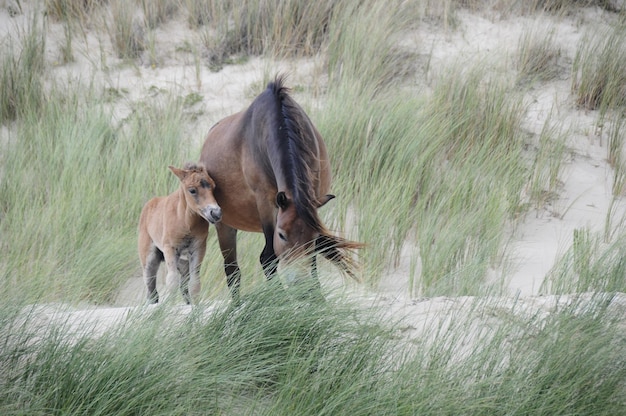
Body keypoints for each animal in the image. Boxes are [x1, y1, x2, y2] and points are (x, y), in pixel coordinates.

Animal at [138, 164, 222, 304]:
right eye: (192, 190)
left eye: (213, 186)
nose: (216, 213)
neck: (185, 221)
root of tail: (148, 205)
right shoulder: (170, 248)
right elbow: (172, 281)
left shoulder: (198, 249)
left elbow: (195, 283)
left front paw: (196, 306)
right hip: (149, 258)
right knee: (151, 289)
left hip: (183, 263)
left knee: (184, 286)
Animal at [197, 75, 358, 300]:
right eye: (281, 235)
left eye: (312, 237)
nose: (299, 283)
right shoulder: (267, 204)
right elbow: (269, 257)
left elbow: (313, 257)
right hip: (224, 225)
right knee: (232, 270)